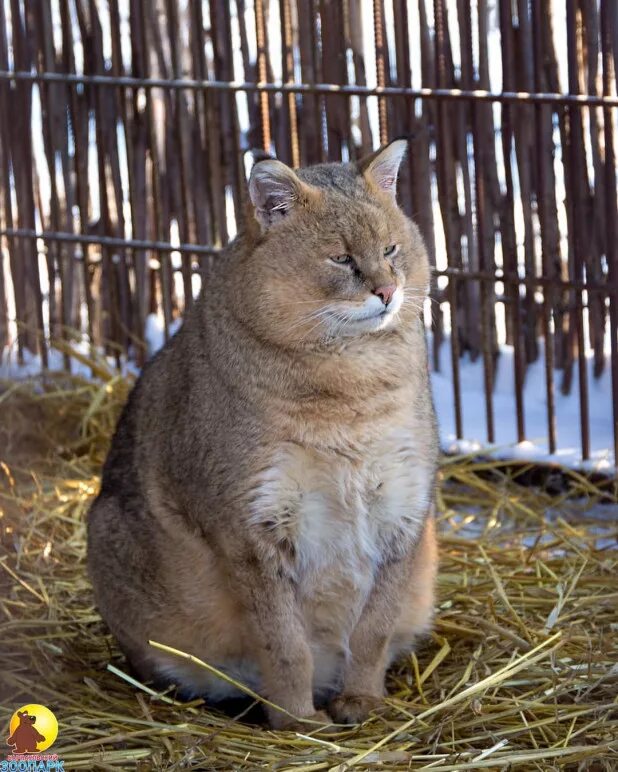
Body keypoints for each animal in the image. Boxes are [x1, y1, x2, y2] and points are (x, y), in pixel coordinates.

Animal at [89, 140, 440, 728]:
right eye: (340, 258)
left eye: (391, 248)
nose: (388, 291)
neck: (352, 383)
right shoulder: (252, 525)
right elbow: (285, 641)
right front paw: (298, 721)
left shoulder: (403, 510)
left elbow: (374, 626)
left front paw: (362, 699)